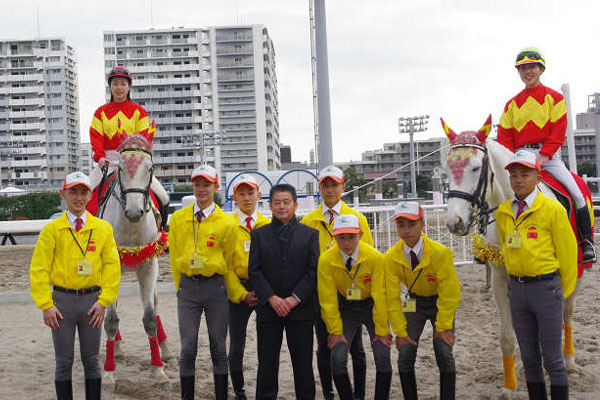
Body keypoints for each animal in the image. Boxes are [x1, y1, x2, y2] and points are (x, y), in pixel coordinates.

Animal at [98, 131, 174, 391]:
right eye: (120, 168)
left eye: (149, 168)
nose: (133, 212)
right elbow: (110, 320)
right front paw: (109, 375)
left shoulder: (149, 266)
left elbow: (150, 318)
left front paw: (160, 372)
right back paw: (118, 349)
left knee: (156, 302)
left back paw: (166, 349)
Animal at [442, 116, 591, 399]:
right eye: (447, 168)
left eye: (476, 168)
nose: (455, 222)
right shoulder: (501, 279)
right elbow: (508, 337)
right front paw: (509, 387)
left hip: (576, 274)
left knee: (567, 316)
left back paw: (570, 362)